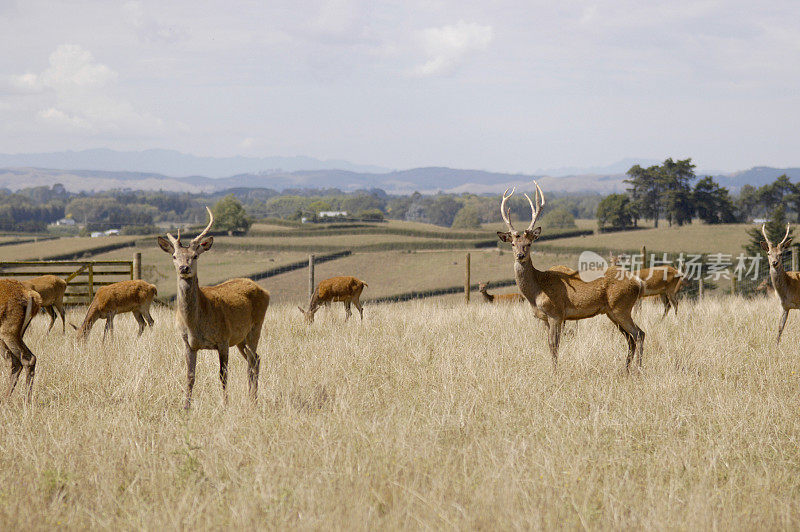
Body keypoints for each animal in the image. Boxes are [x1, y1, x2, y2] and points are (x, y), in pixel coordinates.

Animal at [159, 207, 272, 408]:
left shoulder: (223, 339)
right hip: (240, 338)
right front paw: (185, 407)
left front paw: (225, 404)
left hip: (255, 328)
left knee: (254, 360)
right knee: (255, 359)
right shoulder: (187, 343)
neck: (195, 324)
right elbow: (190, 375)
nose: (184, 268)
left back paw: (253, 400)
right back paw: (251, 397)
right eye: (174, 256)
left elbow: (223, 375)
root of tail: (263, 290)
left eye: (195, 256)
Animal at [496, 183, 648, 370]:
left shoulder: (556, 312)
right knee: (630, 339)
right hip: (612, 312)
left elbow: (554, 345)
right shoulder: (545, 318)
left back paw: (638, 369)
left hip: (621, 306)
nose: (520, 255)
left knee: (639, 334)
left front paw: (555, 371)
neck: (536, 291)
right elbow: (549, 344)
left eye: (529, 243)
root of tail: (638, 283)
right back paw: (625, 370)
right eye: (512, 243)